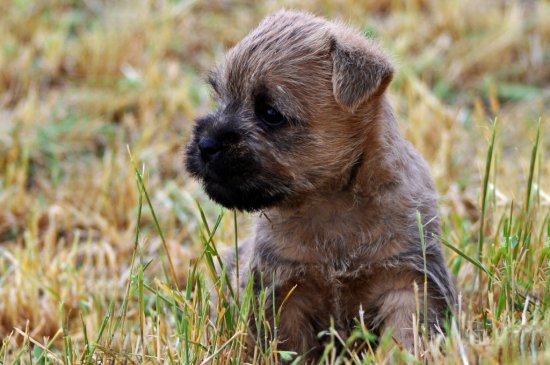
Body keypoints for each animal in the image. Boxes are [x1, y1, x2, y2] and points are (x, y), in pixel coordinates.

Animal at [185, 10, 458, 358]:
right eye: (221, 97)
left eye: (270, 113)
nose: (205, 144)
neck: (333, 203)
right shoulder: (284, 292)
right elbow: (289, 348)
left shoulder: (408, 283)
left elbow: (407, 336)